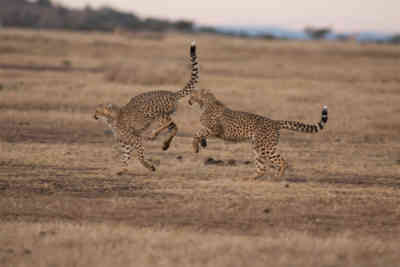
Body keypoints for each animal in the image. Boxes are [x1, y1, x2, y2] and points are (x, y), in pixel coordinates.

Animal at [94, 41, 200, 176]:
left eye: (98, 110)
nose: (94, 116)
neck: (111, 117)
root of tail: (171, 93)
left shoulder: (135, 139)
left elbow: (139, 156)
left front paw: (149, 167)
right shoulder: (125, 142)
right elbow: (125, 157)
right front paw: (123, 170)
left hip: (156, 114)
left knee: (168, 122)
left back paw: (153, 134)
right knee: (175, 126)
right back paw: (165, 144)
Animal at [188, 89, 328, 180]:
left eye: (192, 94)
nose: (189, 100)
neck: (206, 101)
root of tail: (274, 121)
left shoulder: (215, 129)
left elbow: (197, 133)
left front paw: (195, 147)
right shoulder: (212, 129)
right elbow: (200, 133)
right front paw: (202, 143)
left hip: (264, 146)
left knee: (282, 161)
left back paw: (278, 176)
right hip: (258, 146)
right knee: (262, 167)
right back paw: (252, 177)